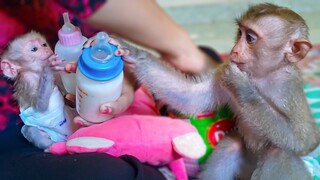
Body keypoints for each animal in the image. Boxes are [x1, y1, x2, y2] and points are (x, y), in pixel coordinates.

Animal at [114, 2, 320, 180]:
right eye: (240, 33)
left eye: (250, 38)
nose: (234, 50)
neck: (260, 77)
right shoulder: (221, 74)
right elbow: (191, 98)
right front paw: (131, 52)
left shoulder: (287, 88)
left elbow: (304, 140)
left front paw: (241, 84)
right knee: (231, 145)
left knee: (279, 153)